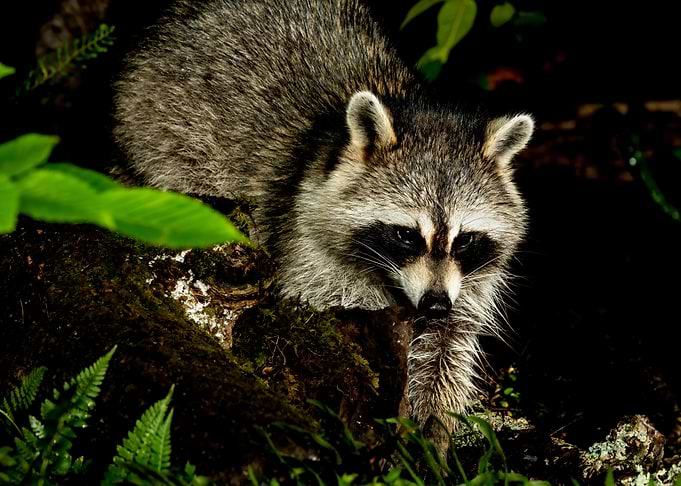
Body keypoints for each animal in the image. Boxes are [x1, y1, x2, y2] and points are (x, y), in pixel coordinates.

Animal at [114, 0, 533, 448]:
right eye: (406, 235)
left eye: (465, 239)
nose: (435, 303)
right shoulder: (307, 240)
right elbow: (327, 305)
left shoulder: (467, 282)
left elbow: (447, 346)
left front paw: (433, 428)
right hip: (161, 132)